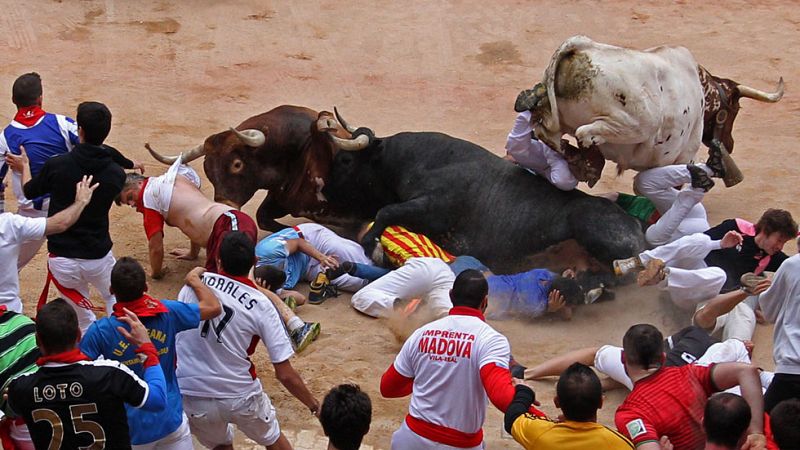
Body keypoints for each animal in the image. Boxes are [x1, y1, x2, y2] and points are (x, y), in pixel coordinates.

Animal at [318, 126, 644, 274]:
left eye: (345, 160)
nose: (323, 191)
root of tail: (635, 228)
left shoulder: (433, 210)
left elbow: (385, 212)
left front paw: (372, 247)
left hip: (591, 230)